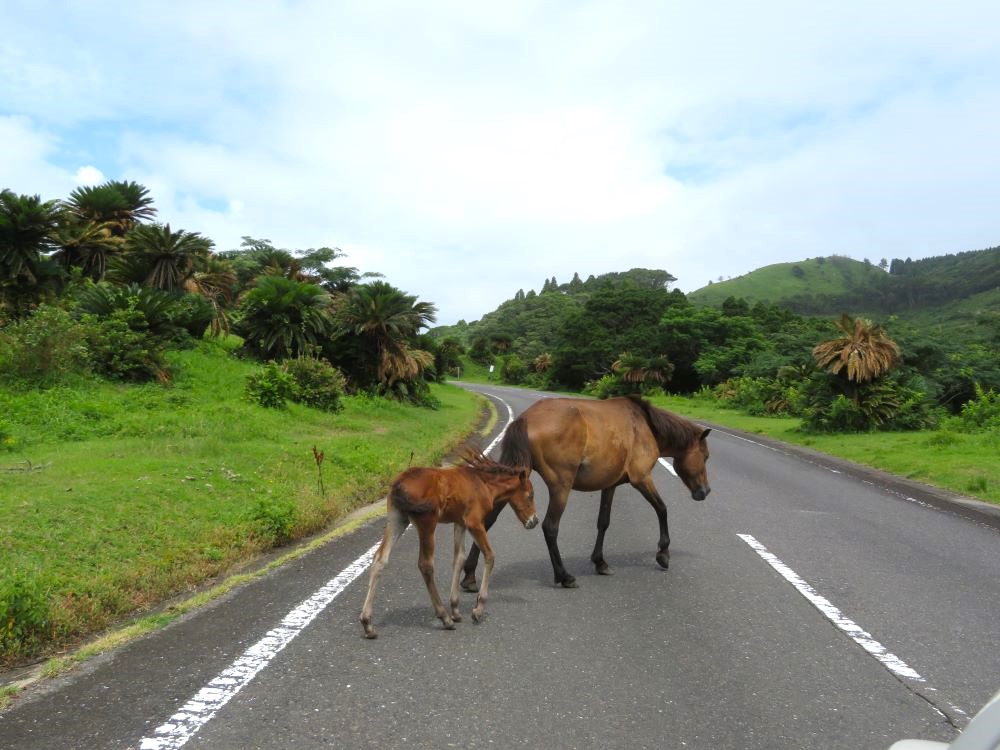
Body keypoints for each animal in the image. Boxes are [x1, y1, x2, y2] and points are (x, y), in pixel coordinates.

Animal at [362, 452, 540, 640]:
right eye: (530, 495)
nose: (534, 521)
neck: (483, 483)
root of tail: (398, 484)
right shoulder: (474, 522)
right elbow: (490, 556)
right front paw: (478, 609)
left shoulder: (460, 523)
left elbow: (459, 559)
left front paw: (455, 608)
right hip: (427, 522)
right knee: (425, 565)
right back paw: (444, 618)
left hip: (397, 520)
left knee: (380, 559)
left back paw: (367, 623)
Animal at [460, 396, 712, 592]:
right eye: (706, 456)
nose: (705, 491)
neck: (644, 425)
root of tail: (526, 418)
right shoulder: (642, 478)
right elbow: (662, 509)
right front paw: (663, 553)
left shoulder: (610, 485)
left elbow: (603, 522)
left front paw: (600, 562)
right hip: (561, 486)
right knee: (550, 527)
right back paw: (564, 576)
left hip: (515, 477)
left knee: (489, 519)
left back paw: (470, 576)